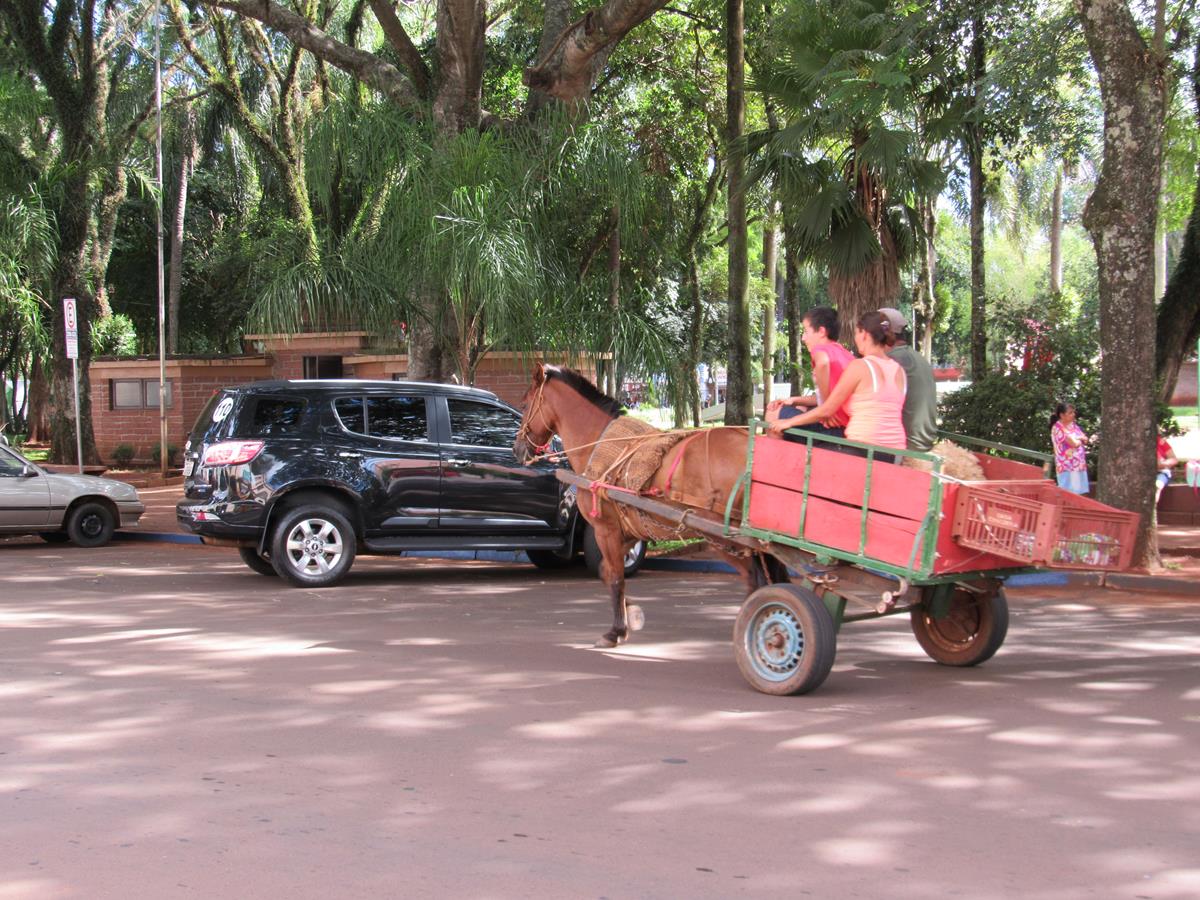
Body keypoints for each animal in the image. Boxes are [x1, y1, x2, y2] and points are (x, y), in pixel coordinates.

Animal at [511, 362, 782, 648]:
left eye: (525, 403)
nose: (517, 448)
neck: (598, 442)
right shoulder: (628, 531)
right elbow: (606, 572)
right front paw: (632, 613)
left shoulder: (605, 529)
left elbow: (615, 577)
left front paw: (616, 631)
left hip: (723, 537)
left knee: (756, 580)